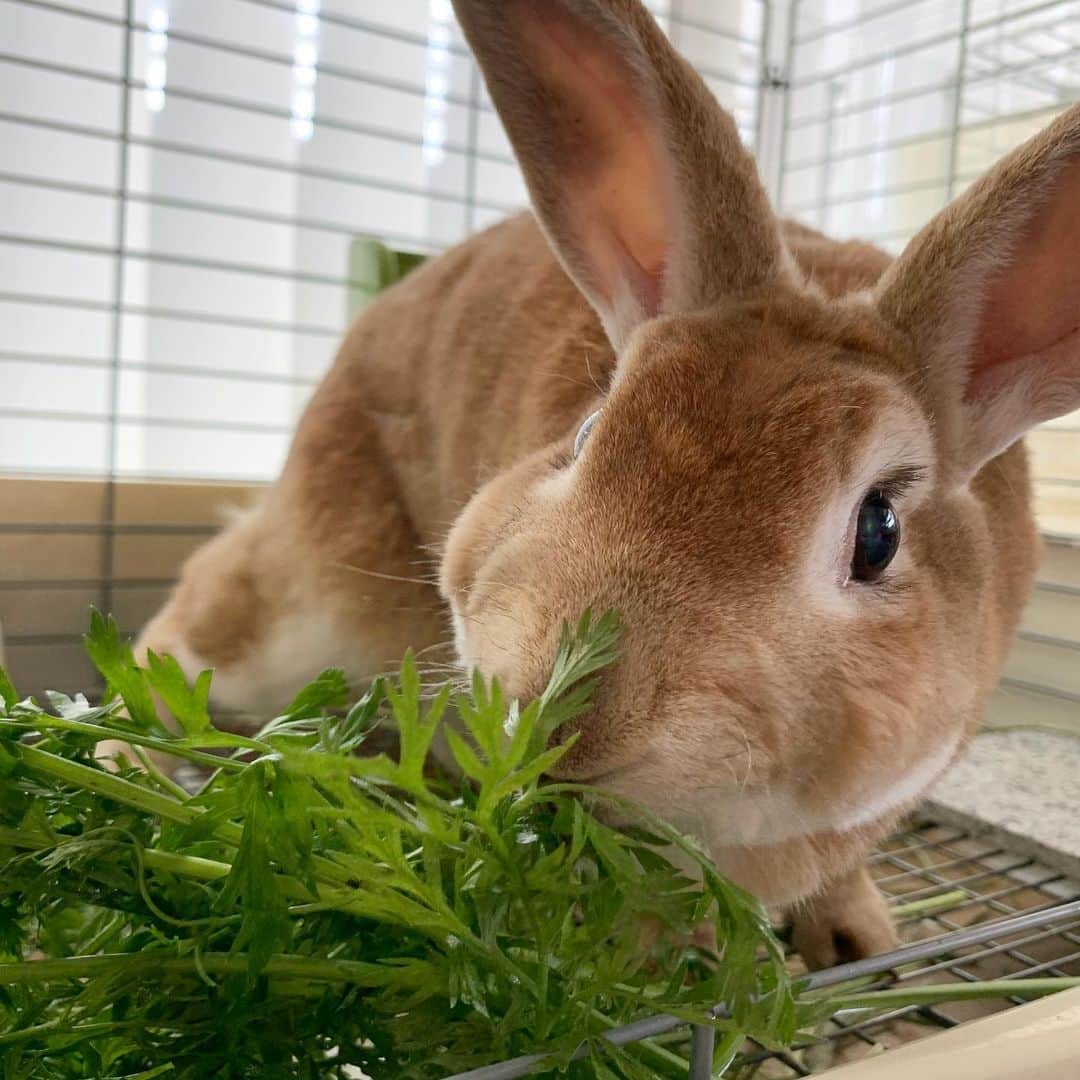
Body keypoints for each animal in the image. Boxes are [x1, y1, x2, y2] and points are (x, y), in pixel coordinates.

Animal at [130, 0, 1080, 969]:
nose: (561, 722)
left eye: (879, 531)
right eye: (588, 433)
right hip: (311, 599)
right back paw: (121, 767)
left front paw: (856, 939)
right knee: (172, 652)